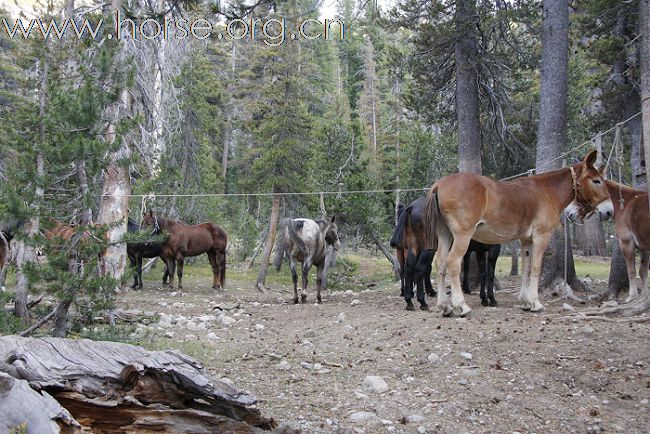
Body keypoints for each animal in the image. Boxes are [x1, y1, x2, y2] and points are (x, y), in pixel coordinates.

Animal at [426, 151, 608, 318]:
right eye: (596, 180)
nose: (606, 210)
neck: (547, 191)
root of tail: (439, 185)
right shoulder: (541, 237)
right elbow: (535, 267)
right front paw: (535, 302)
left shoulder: (526, 241)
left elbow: (526, 268)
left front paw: (525, 302)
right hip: (462, 237)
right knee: (452, 262)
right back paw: (461, 305)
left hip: (445, 235)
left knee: (440, 263)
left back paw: (444, 306)